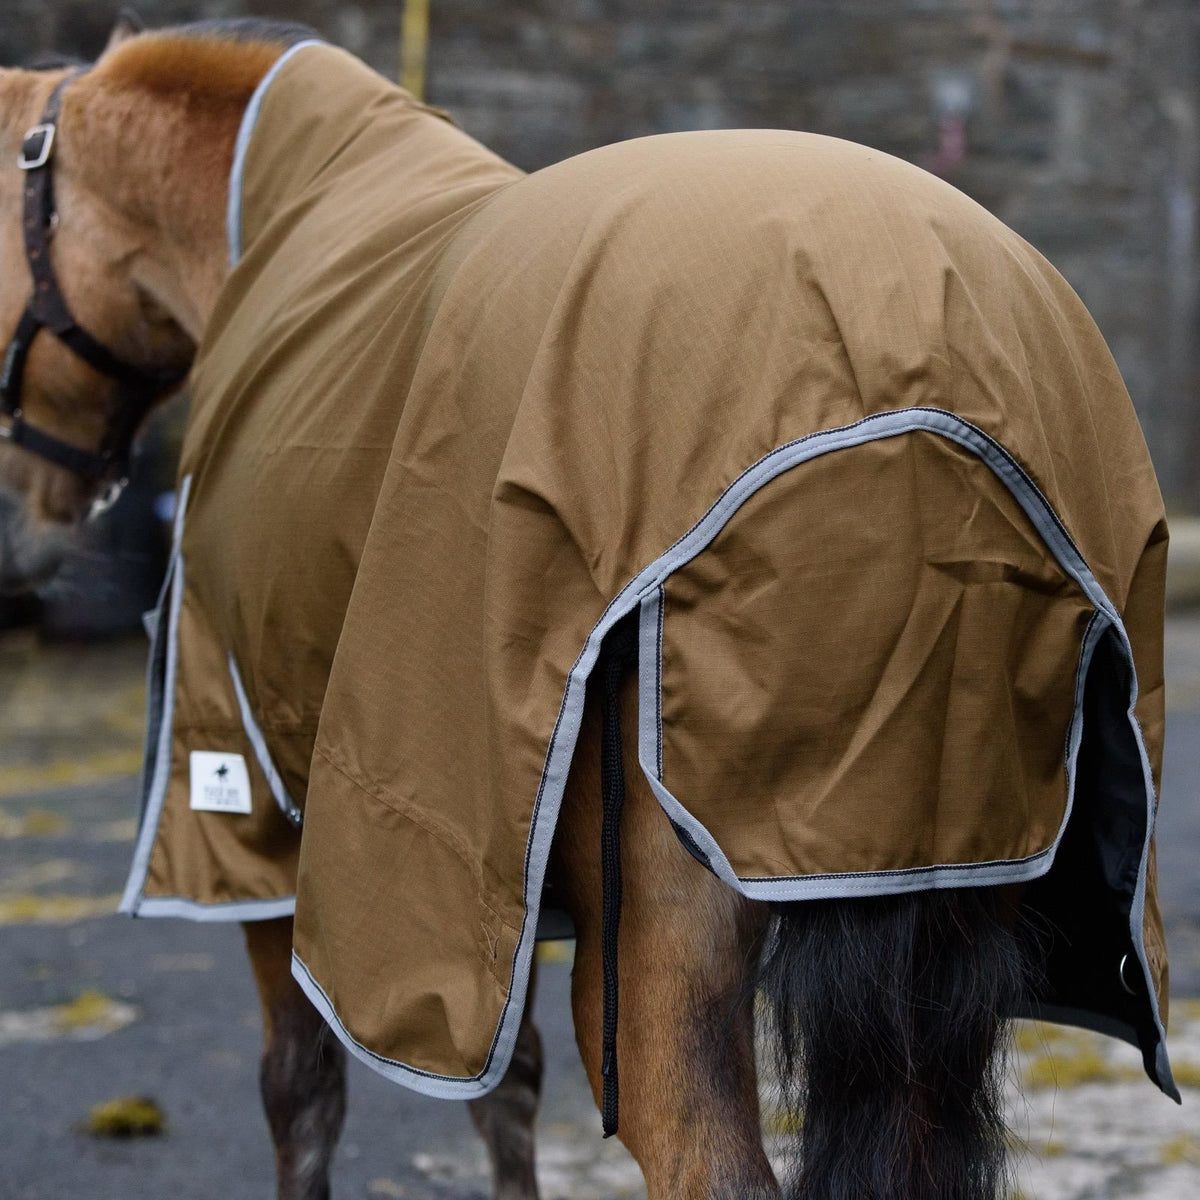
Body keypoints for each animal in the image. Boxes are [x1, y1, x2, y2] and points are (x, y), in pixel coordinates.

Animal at [0, 15, 1175, 1200]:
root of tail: (914, 372)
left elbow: (304, 1096)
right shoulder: (492, 882)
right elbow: (505, 1084)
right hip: (954, 875)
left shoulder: (252, 802)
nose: (19, 539)